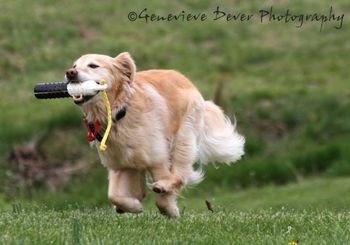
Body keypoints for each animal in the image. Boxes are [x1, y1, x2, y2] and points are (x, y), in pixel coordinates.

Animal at [65, 52, 245, 217]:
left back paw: (164, 187)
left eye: (93, 65)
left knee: (180, 175)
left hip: (183, 138)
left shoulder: (158, 158)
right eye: (74, 66)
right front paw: (133, 206)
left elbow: (162, 199)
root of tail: (184, 79)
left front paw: (170, 210)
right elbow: (113, 195)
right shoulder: (119, 165)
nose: (69, 73)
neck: (119, 113)